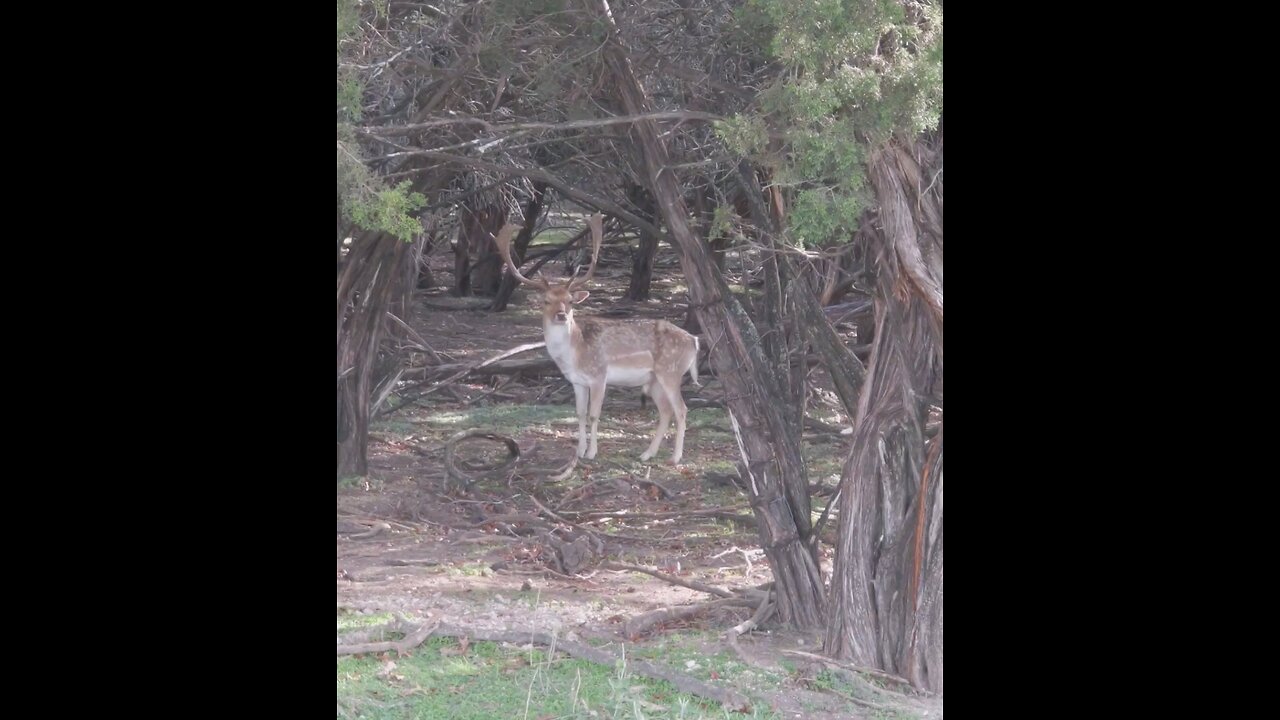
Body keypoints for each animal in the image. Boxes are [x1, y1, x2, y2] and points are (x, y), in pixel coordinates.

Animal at [496, 211, 701, 466]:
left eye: (570, 301)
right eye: (546, 301)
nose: (562, 315)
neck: (575, 353)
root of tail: (694, 341)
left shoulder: (599, 376)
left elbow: (594, 415)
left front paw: (592, 453)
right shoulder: (577, 381)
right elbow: (580, 413)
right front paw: (579, 451)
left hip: (671, 371)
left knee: (681, 409)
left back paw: (675, 458)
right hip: (654, 379)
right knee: (666, 411)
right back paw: (646, 454)